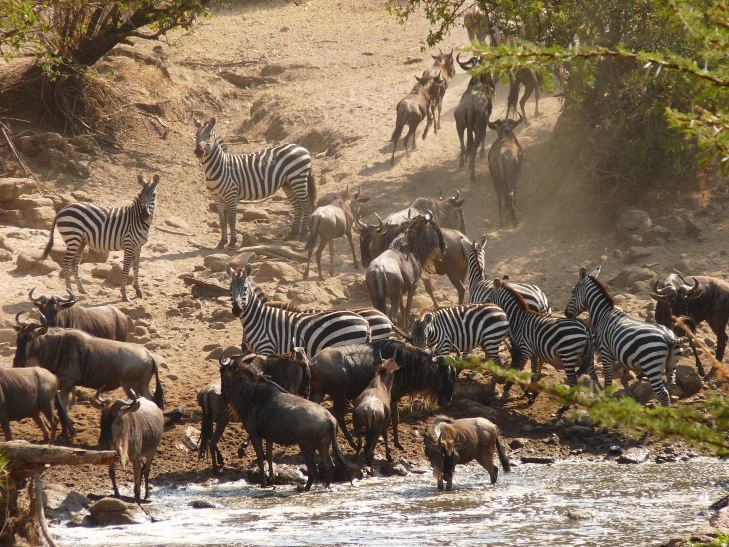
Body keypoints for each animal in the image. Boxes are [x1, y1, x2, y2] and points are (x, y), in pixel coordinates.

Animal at [193, 117, 316, 247]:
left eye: (209, 135)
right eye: (196, 135)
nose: (198, 151)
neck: (218, 168)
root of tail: (302, 148)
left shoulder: (232, 195)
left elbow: (231, 220)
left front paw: (233, 241)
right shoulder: (217, 199)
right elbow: (222, 221)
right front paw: (222, 242)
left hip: (297, 178)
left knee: (306, 203)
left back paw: (304, 232)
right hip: (288, 183)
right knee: (298, 206)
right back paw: (293, 232)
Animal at [228, 264, 371, 357]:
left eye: (245, 288)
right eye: (230, 289)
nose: (237, 310)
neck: (259, 319)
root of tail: (364, 321)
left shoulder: (266, 348)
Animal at [565, 267, 688, 407]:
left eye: (573, 291)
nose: (566, 313)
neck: (603, 314)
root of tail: (668, 336)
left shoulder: (606, 353)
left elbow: (608, 383)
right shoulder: (623, 356)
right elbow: (624, 378)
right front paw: (628, 397)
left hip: (651, 365)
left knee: (663, 393)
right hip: (672, 364)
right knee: (671, 386)